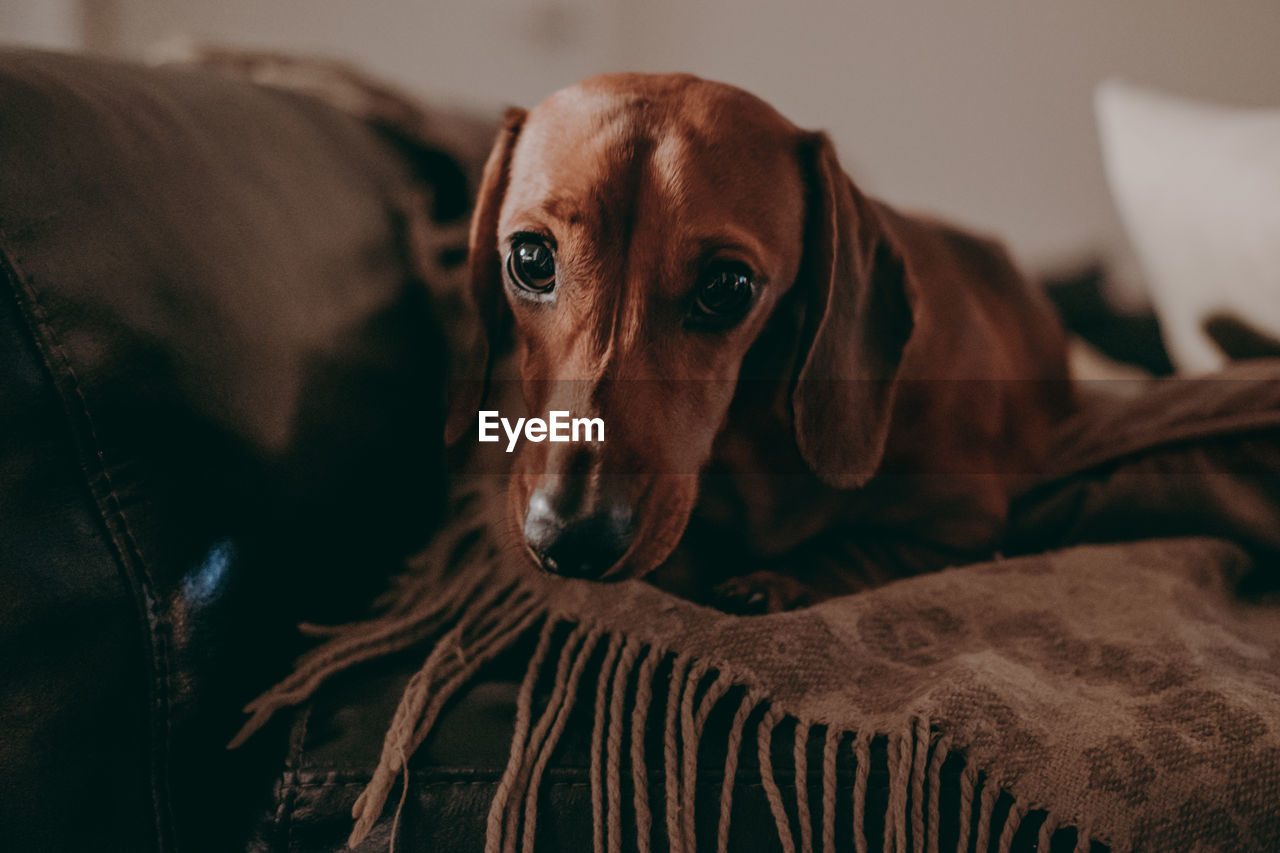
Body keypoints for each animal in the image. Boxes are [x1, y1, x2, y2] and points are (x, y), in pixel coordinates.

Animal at [450, 69, 1070, 607]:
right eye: (530, 259)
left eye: (727, 286)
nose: (573, 540)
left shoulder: (965, 525)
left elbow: (853, 550)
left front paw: (771, 585)